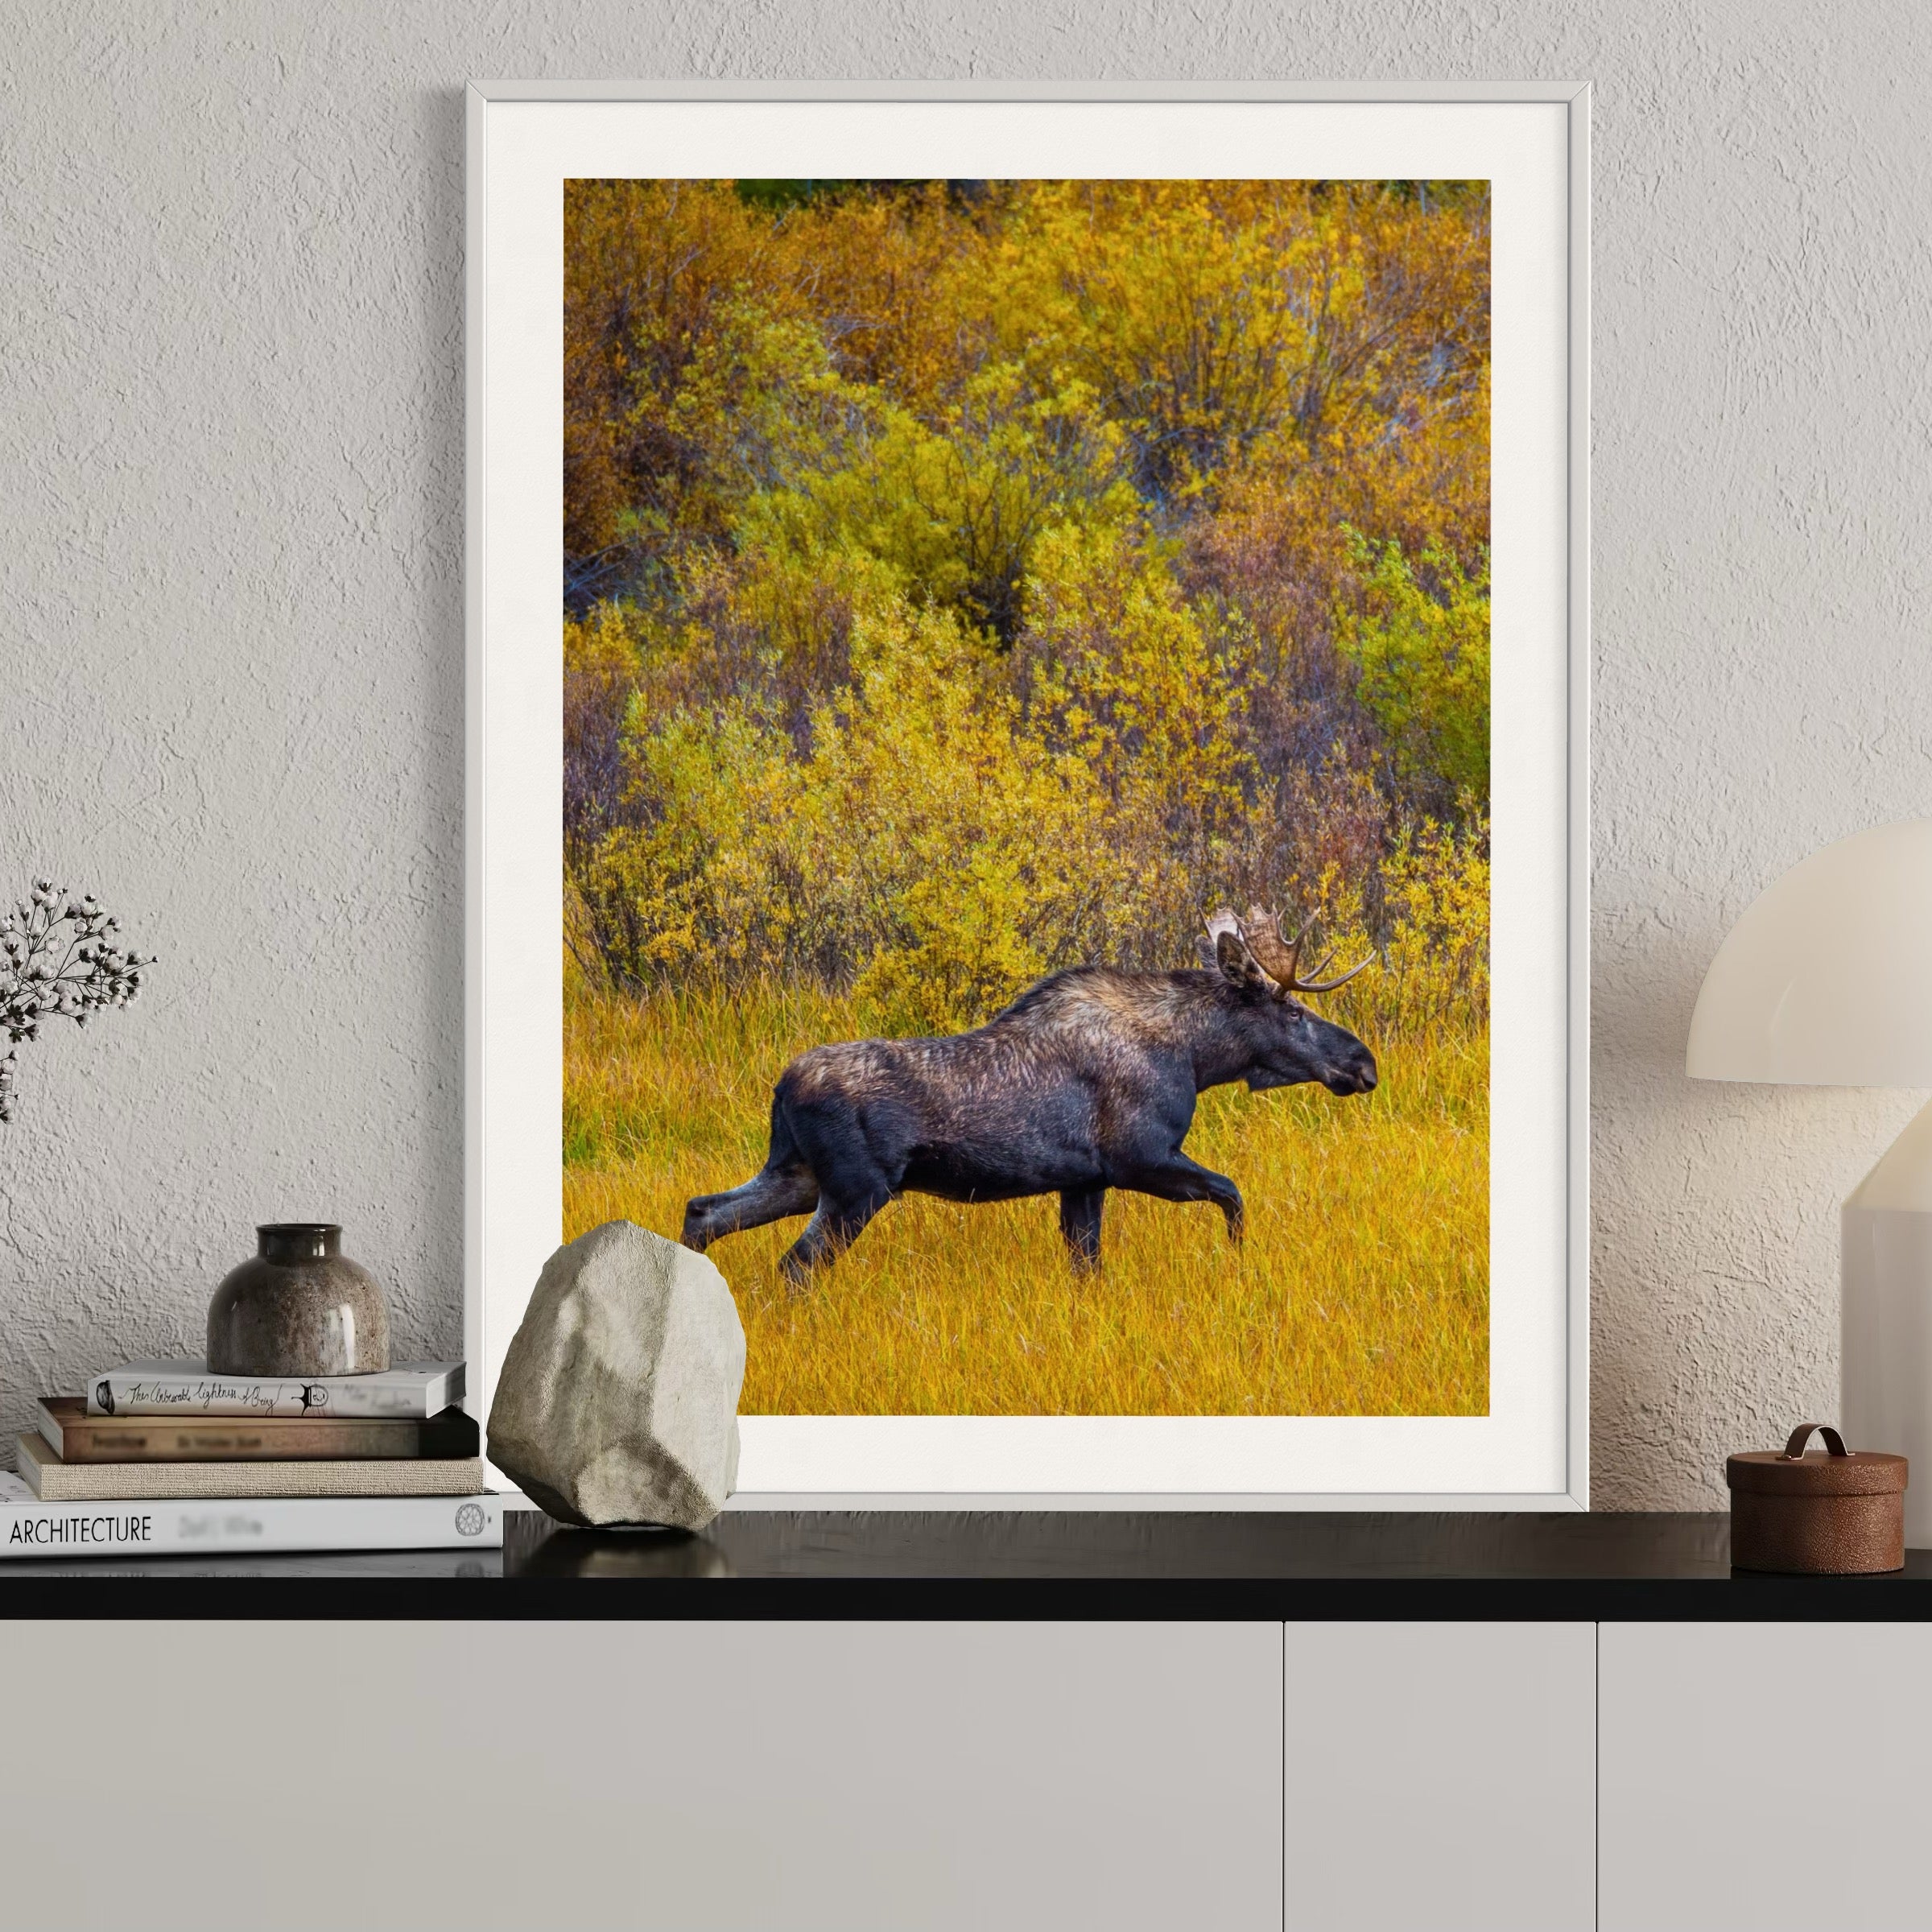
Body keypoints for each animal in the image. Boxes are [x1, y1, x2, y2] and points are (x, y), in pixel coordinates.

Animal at [681, 907, 1378, 1282]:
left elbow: (1087, 1267)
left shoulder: (1085, 1180)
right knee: (794, 1266)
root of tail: (781, 1087)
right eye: (1292, 1011)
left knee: (704, 1211)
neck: (1195, 1056)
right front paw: (1234, 1263)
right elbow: (1233, 1196)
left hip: (797, 1174)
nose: (1363, 1063)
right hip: (855, 1190)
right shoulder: (1140, 1158)